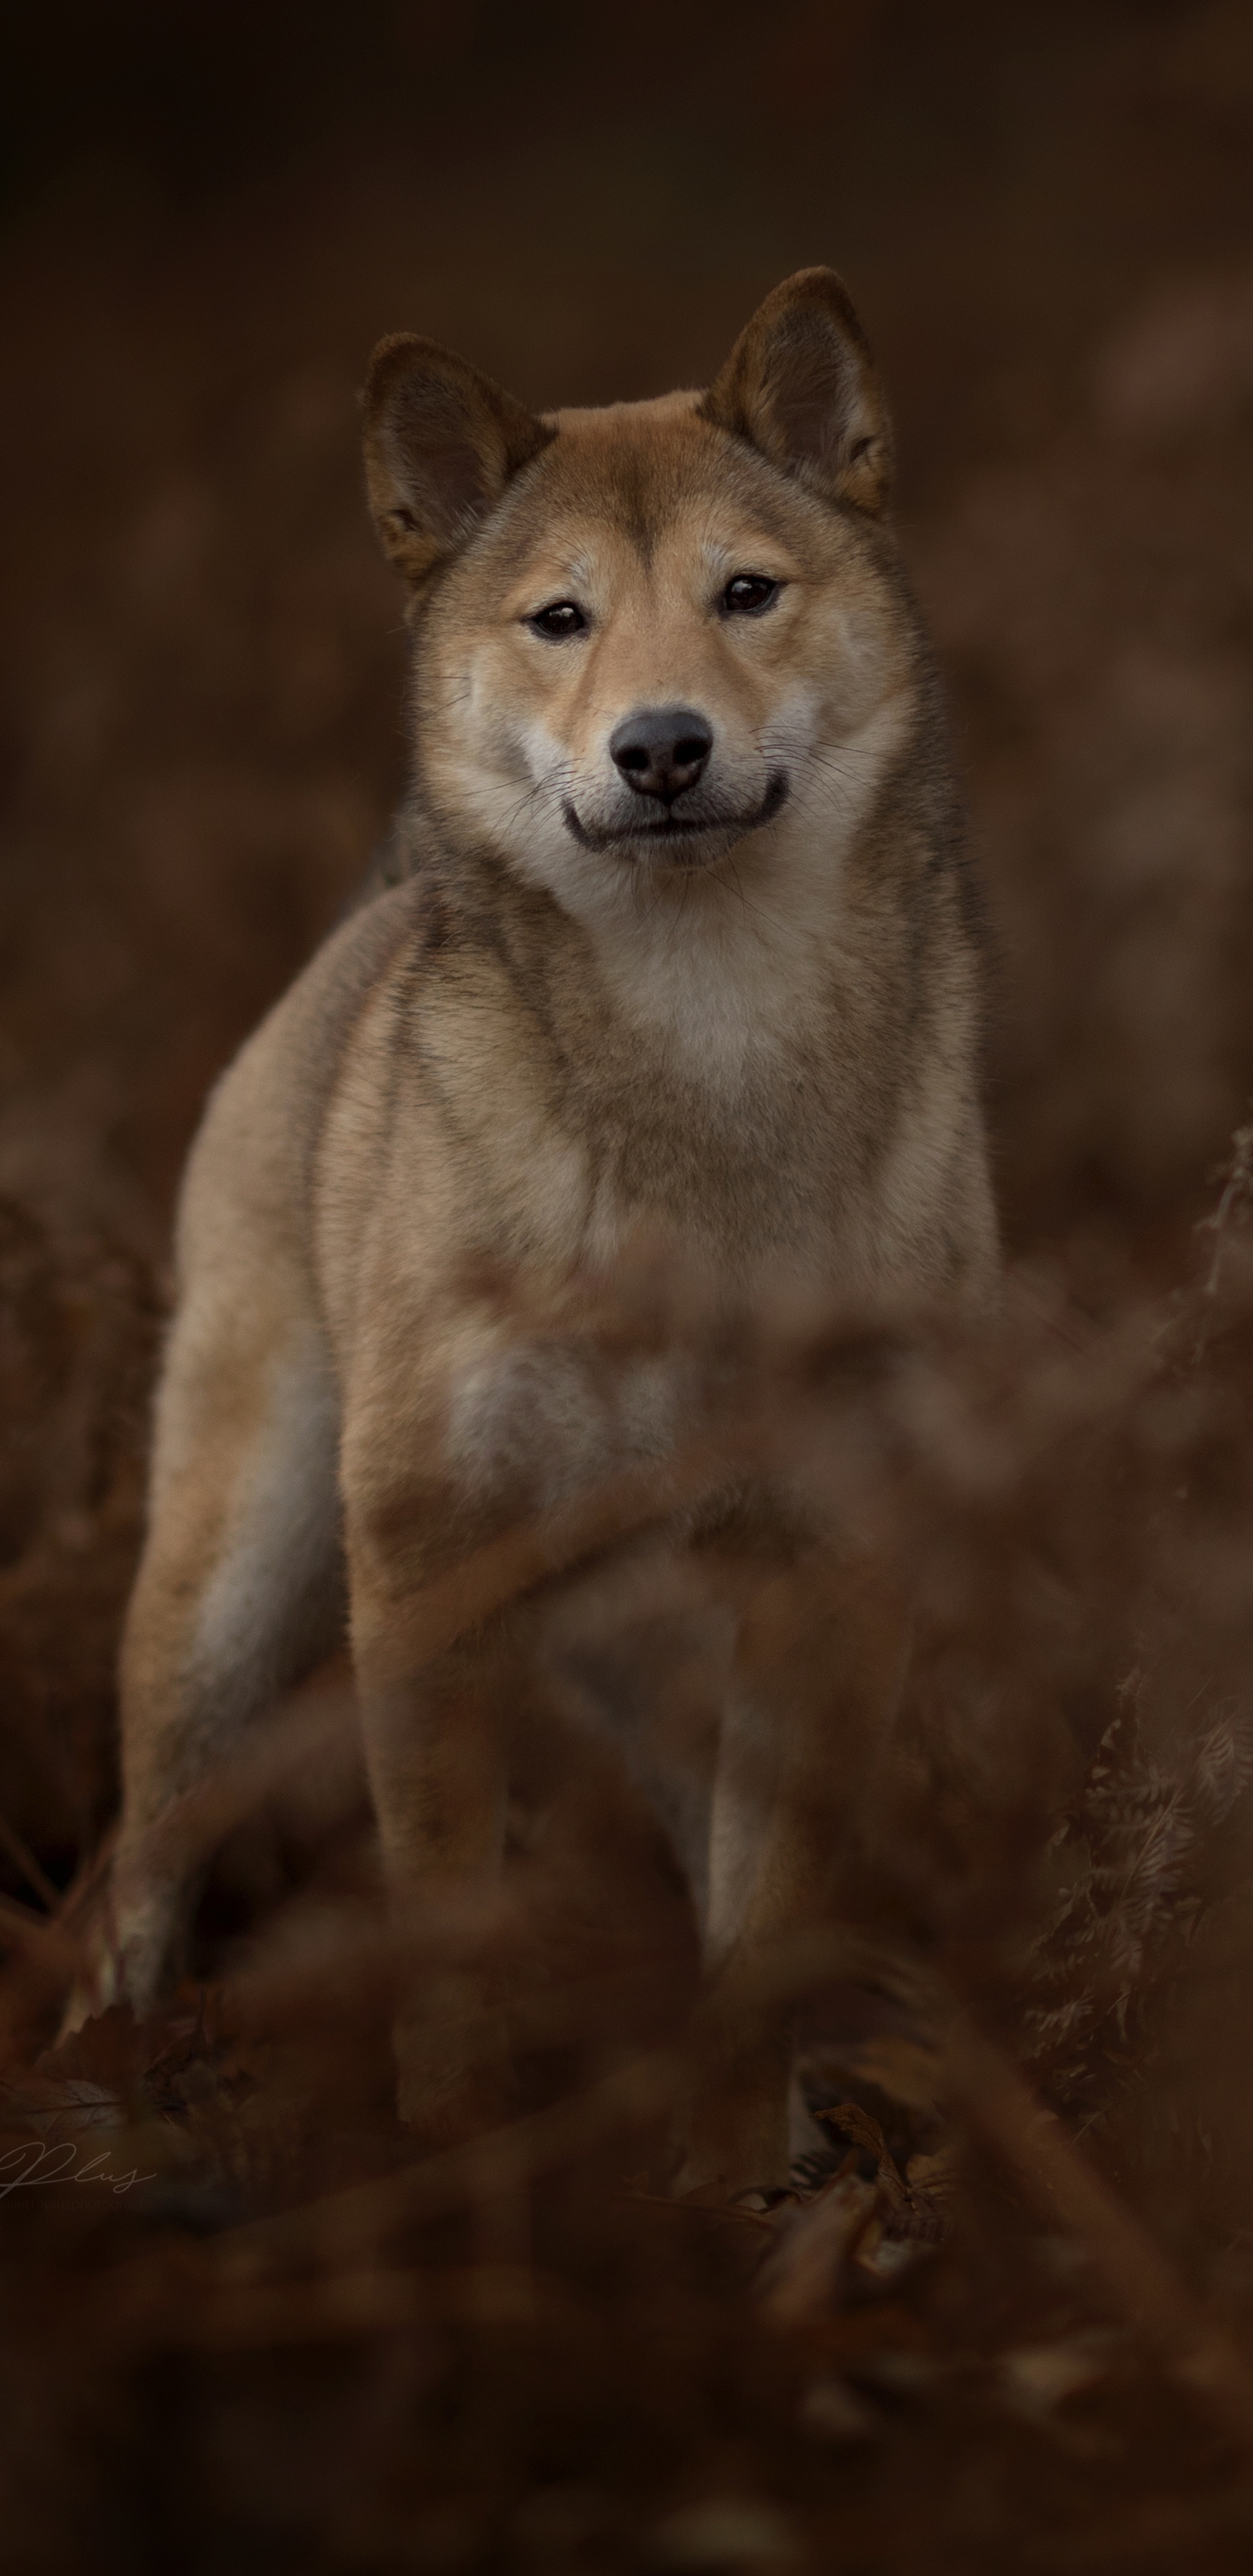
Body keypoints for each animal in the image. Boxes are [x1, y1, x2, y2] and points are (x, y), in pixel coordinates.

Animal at [70, 261, 1000, 2194]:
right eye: (561, 619)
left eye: (745, 593)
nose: (660, 746)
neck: (709, 1073)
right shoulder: (430, 1557)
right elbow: (443, 1913)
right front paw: (457, 2171)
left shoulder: (829, 1564)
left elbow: (763, 1923)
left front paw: (737, 2183)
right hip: (229, 1591)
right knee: (142, 1866)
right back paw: (111, 2106)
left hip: (651, 1649)